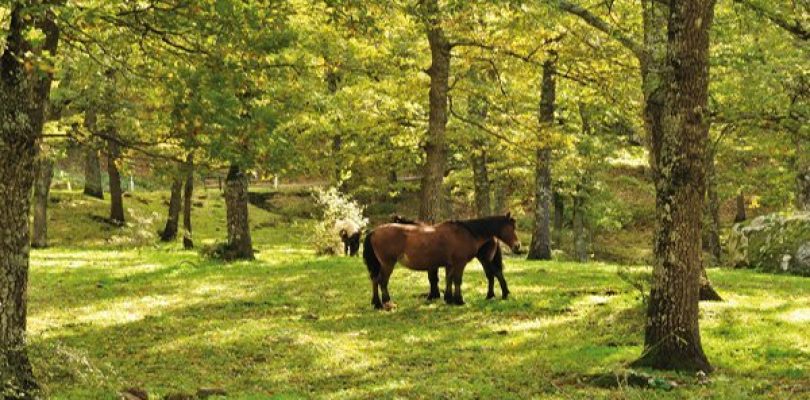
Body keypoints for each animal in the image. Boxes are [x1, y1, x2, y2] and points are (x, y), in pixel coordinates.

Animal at [362, 212, 520, 310]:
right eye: (511, 227)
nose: (517, 246)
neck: (466, 233)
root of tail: (374, 231)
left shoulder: (450, 264)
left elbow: (448, 280)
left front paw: (449, 299)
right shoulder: (459, 263)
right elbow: (457, 280)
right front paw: (459, 300)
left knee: (375, 280)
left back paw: (377, 303)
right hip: (388, 264)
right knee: (382, 281)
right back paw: (388, 303)